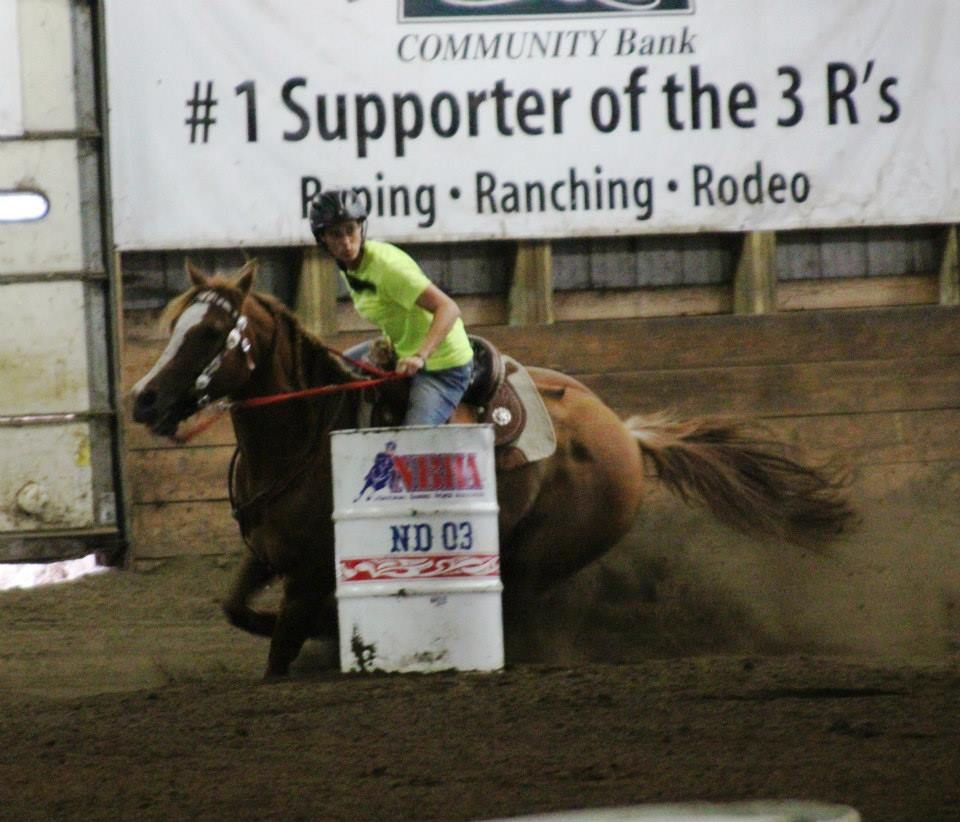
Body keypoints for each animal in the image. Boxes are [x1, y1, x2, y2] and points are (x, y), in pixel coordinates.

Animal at [131, 260, 854, 678]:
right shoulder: (268, 551)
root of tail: (626, 433)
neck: (304, 432)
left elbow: (280, 651)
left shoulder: (308, 572)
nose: (144, 399)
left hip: (539, 555)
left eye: (208, 334)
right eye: (174, 327)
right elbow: (235, 609)